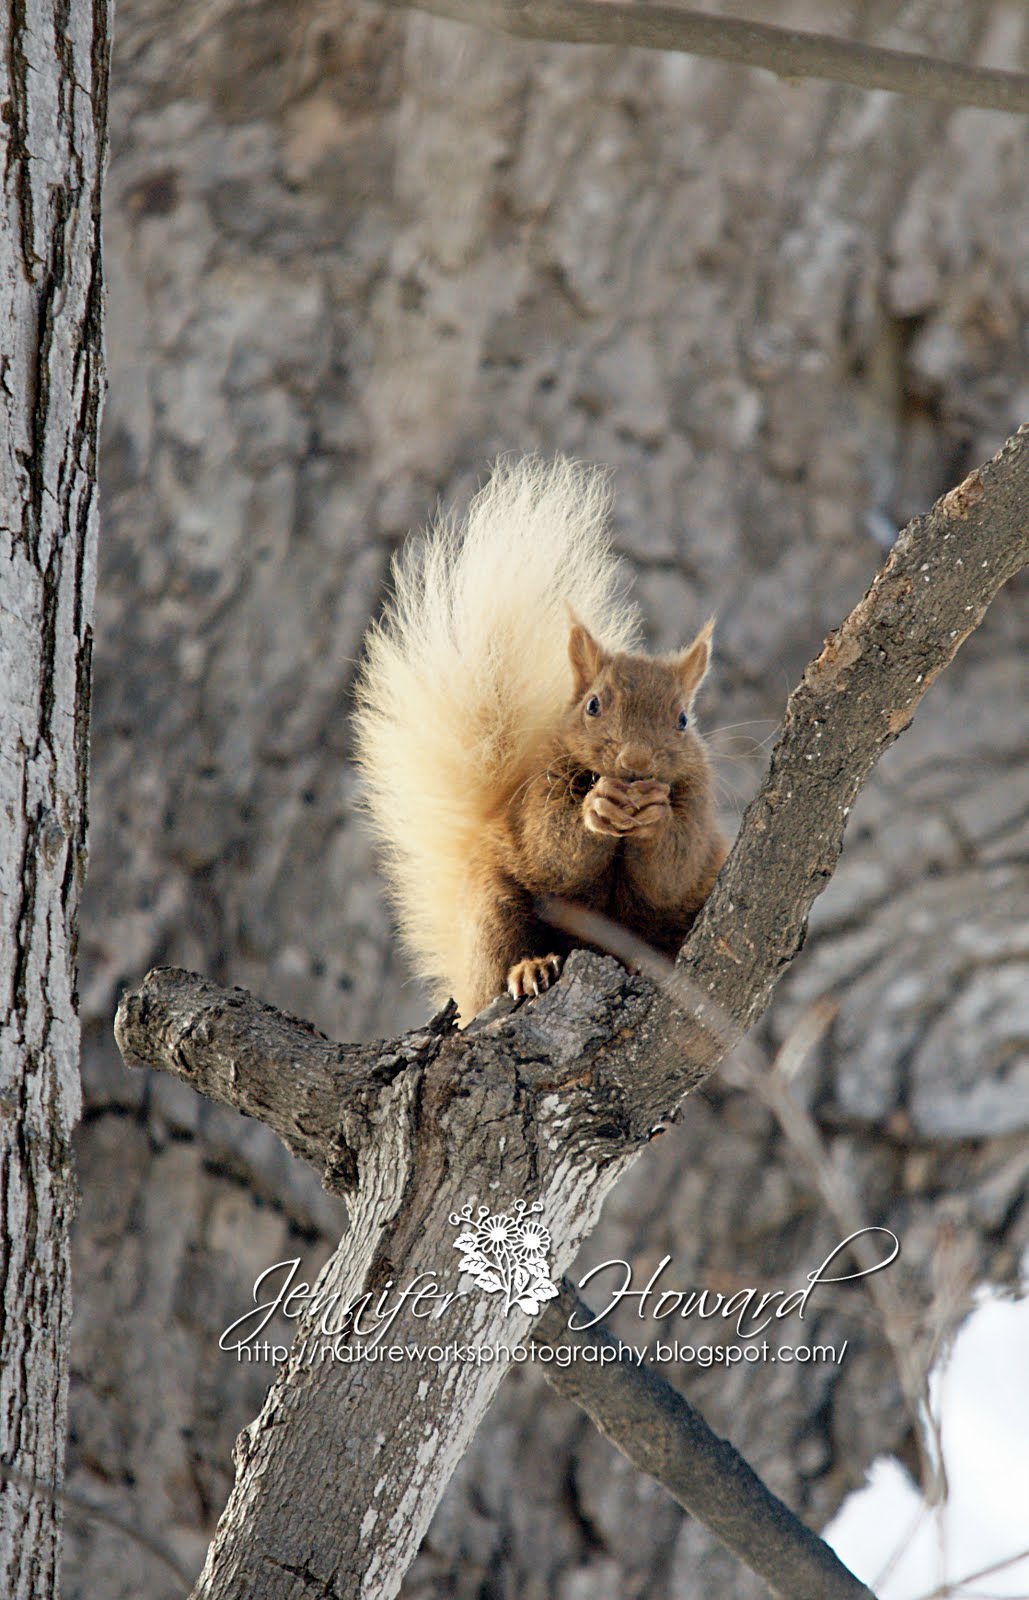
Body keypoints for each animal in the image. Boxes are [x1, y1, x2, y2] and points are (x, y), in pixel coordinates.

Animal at [353, 457, 728, 1024]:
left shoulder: (699, 808)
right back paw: (530, 968)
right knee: (503, 957)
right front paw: (598, 805)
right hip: (495, 909)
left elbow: (673, 869)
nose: (635, 760)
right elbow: (555, 846)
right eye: (593, 705)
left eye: (683, 719)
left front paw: (655, 812)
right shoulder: (538, 796)